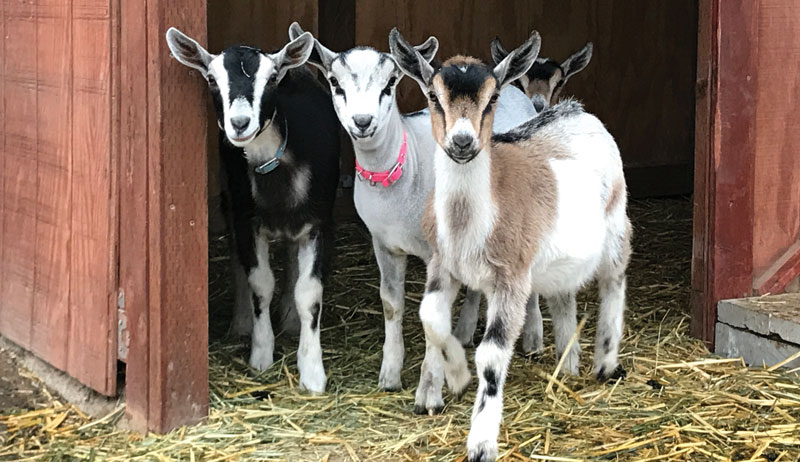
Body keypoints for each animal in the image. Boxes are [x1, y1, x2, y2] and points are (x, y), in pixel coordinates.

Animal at [166, 28, 340, 393]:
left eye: (272, 78)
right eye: (211, 79)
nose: (240, 123)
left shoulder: (319, 222)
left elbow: (309, 292)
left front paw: (312, 372)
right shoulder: (249, 219)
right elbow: (259, 283)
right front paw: (261, 354)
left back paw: (289, 318)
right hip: (229, 197)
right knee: (237, 258)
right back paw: (242, 322)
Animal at [288, 23, 542, 392]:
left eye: (390, 83)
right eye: (335, 83)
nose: (362, 121)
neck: (405, 175)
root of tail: (514, 92)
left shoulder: (436, 251)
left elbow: (433, 312)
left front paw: (430, 383)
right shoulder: (383, 243)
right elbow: (391, 304)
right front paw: (390, 375)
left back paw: (533, 338)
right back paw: (465, 331)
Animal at [390, 29, 630, 462]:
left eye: (493, 98)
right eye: (433, 95)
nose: (463, 142)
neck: (471, 221)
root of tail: (577, 111)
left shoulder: (511, 279)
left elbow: (490, 354)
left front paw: (481, 441)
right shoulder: (442, 264)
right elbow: (430, 318)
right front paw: (446, 384)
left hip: (617, 225)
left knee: (614, 282)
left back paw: (605, 363)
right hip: (560, 260)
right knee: (564, 297)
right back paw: (567, 364)